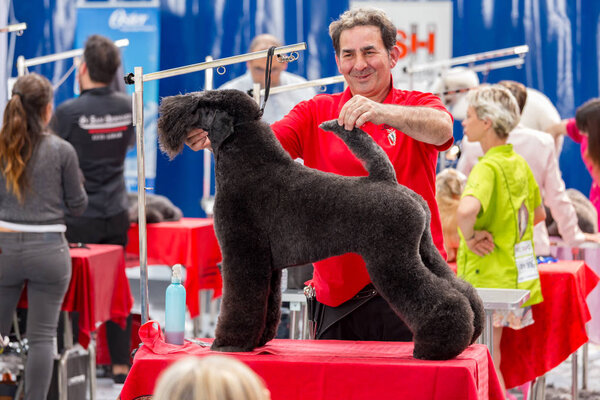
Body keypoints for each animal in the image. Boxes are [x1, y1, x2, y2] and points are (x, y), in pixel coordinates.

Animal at [157, 89, 486, 360]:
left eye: (201, 103)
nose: (165, 108)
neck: (249, 165)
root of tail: (388, 180)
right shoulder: (269, 265)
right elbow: (267, 304)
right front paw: (258, 342)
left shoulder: (243, 255)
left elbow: (241, 302)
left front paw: (228, 343)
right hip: (422, 250)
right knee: (461, 289)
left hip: (393, 260)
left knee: (441, 297)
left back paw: (435, 347)